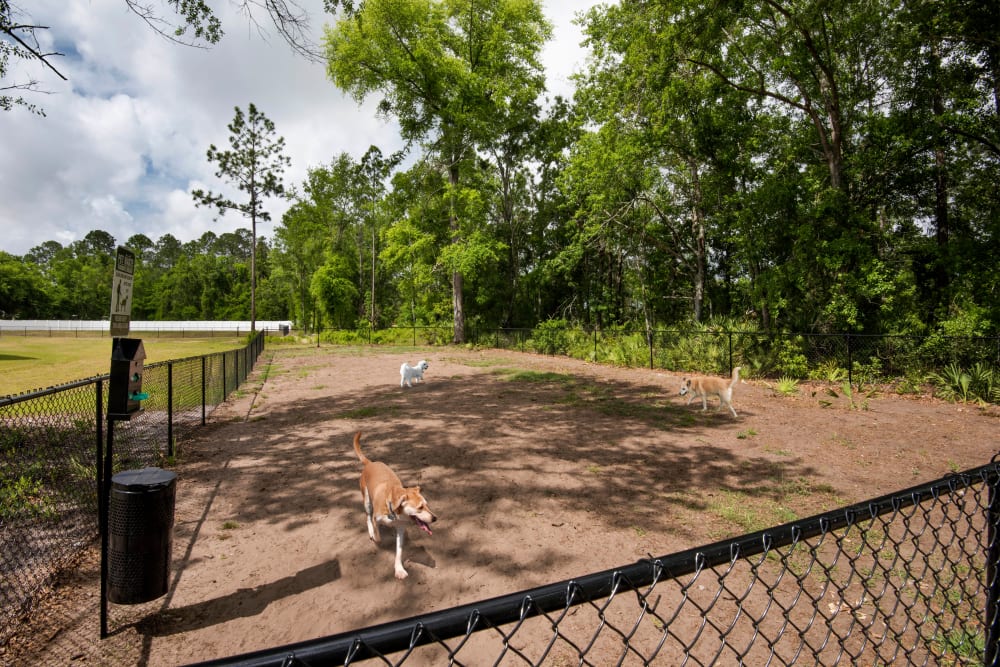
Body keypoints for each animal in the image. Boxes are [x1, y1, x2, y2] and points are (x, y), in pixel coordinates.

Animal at [354, 434, 436, 580]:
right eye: (420, 507)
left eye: (426, 504)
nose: (435, 518)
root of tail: (370, 463)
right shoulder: (377, 518)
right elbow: (378, 536)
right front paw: (376, 535)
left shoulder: (401, 529)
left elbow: (399, 551)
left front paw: (399, 569)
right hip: (367, 501)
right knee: (367, 517)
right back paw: (371, 531)